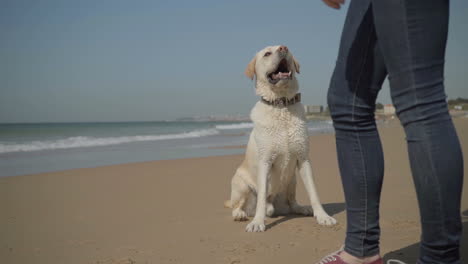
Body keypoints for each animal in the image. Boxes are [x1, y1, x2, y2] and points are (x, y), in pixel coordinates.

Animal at [226, 44, 338, 231]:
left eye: (288, 50)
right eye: (267, 53)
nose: (283, 48)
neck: (282, 104)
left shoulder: (304, 159)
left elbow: (314, 192)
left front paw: (322, 216)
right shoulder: (265, 161)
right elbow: (262, 197)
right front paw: (257, 222)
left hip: (292, 180)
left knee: (291, 202)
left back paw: (302, 208)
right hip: (241, 183)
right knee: (238, 205)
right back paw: (240, 214)